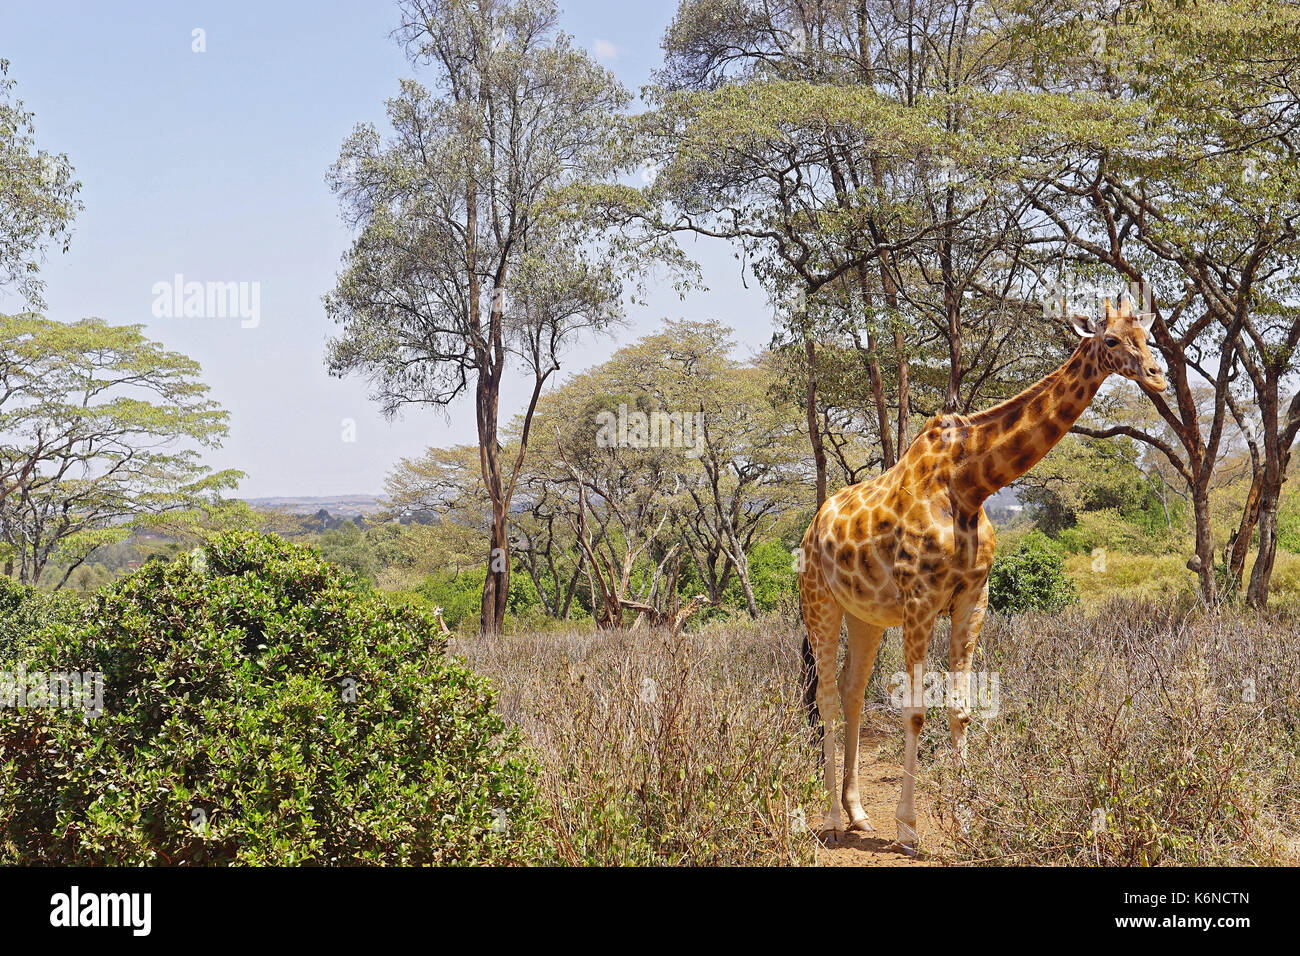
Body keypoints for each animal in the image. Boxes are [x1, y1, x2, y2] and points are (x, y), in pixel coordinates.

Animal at [798, 298, 1167, 848]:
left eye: (1146, 335)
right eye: (1112, 340)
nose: (1158, 376)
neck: (969, 482)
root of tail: (810, 527)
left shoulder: (973, 596)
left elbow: (961, 708)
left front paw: (968, 817)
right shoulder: (920, 600)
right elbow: (915, 709)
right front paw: (908, 828)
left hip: (866, 616)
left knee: (851, 692)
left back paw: (859, 814)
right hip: (819, 601)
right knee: (824, 695)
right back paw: (831, 820)